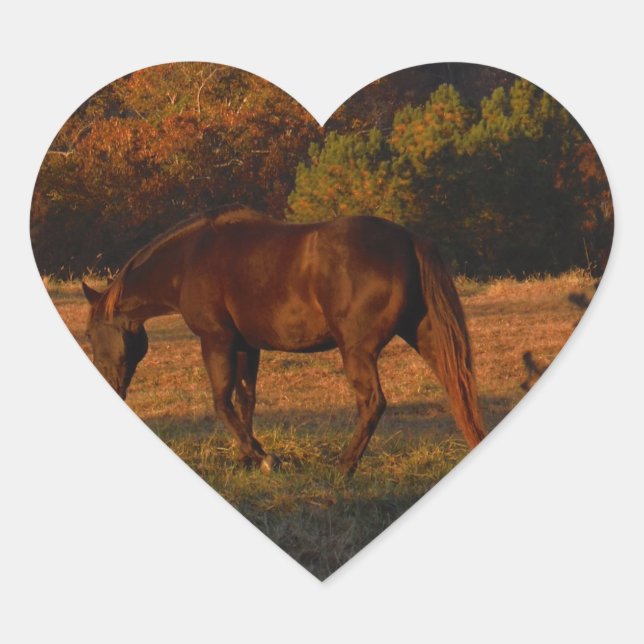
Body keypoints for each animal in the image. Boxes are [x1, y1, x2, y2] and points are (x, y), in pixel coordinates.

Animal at [82, 206, 486, 475]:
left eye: (88, 335)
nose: (113, 390)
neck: (190, 259)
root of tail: (409, 240)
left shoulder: (216, 341)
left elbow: (221, 402)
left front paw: (263, 456)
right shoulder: (246, 346)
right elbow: (245, 401)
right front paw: (248, 457)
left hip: (357, 352)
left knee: (373, 403)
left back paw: (344, 467)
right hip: (425, 337)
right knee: (457, 388)